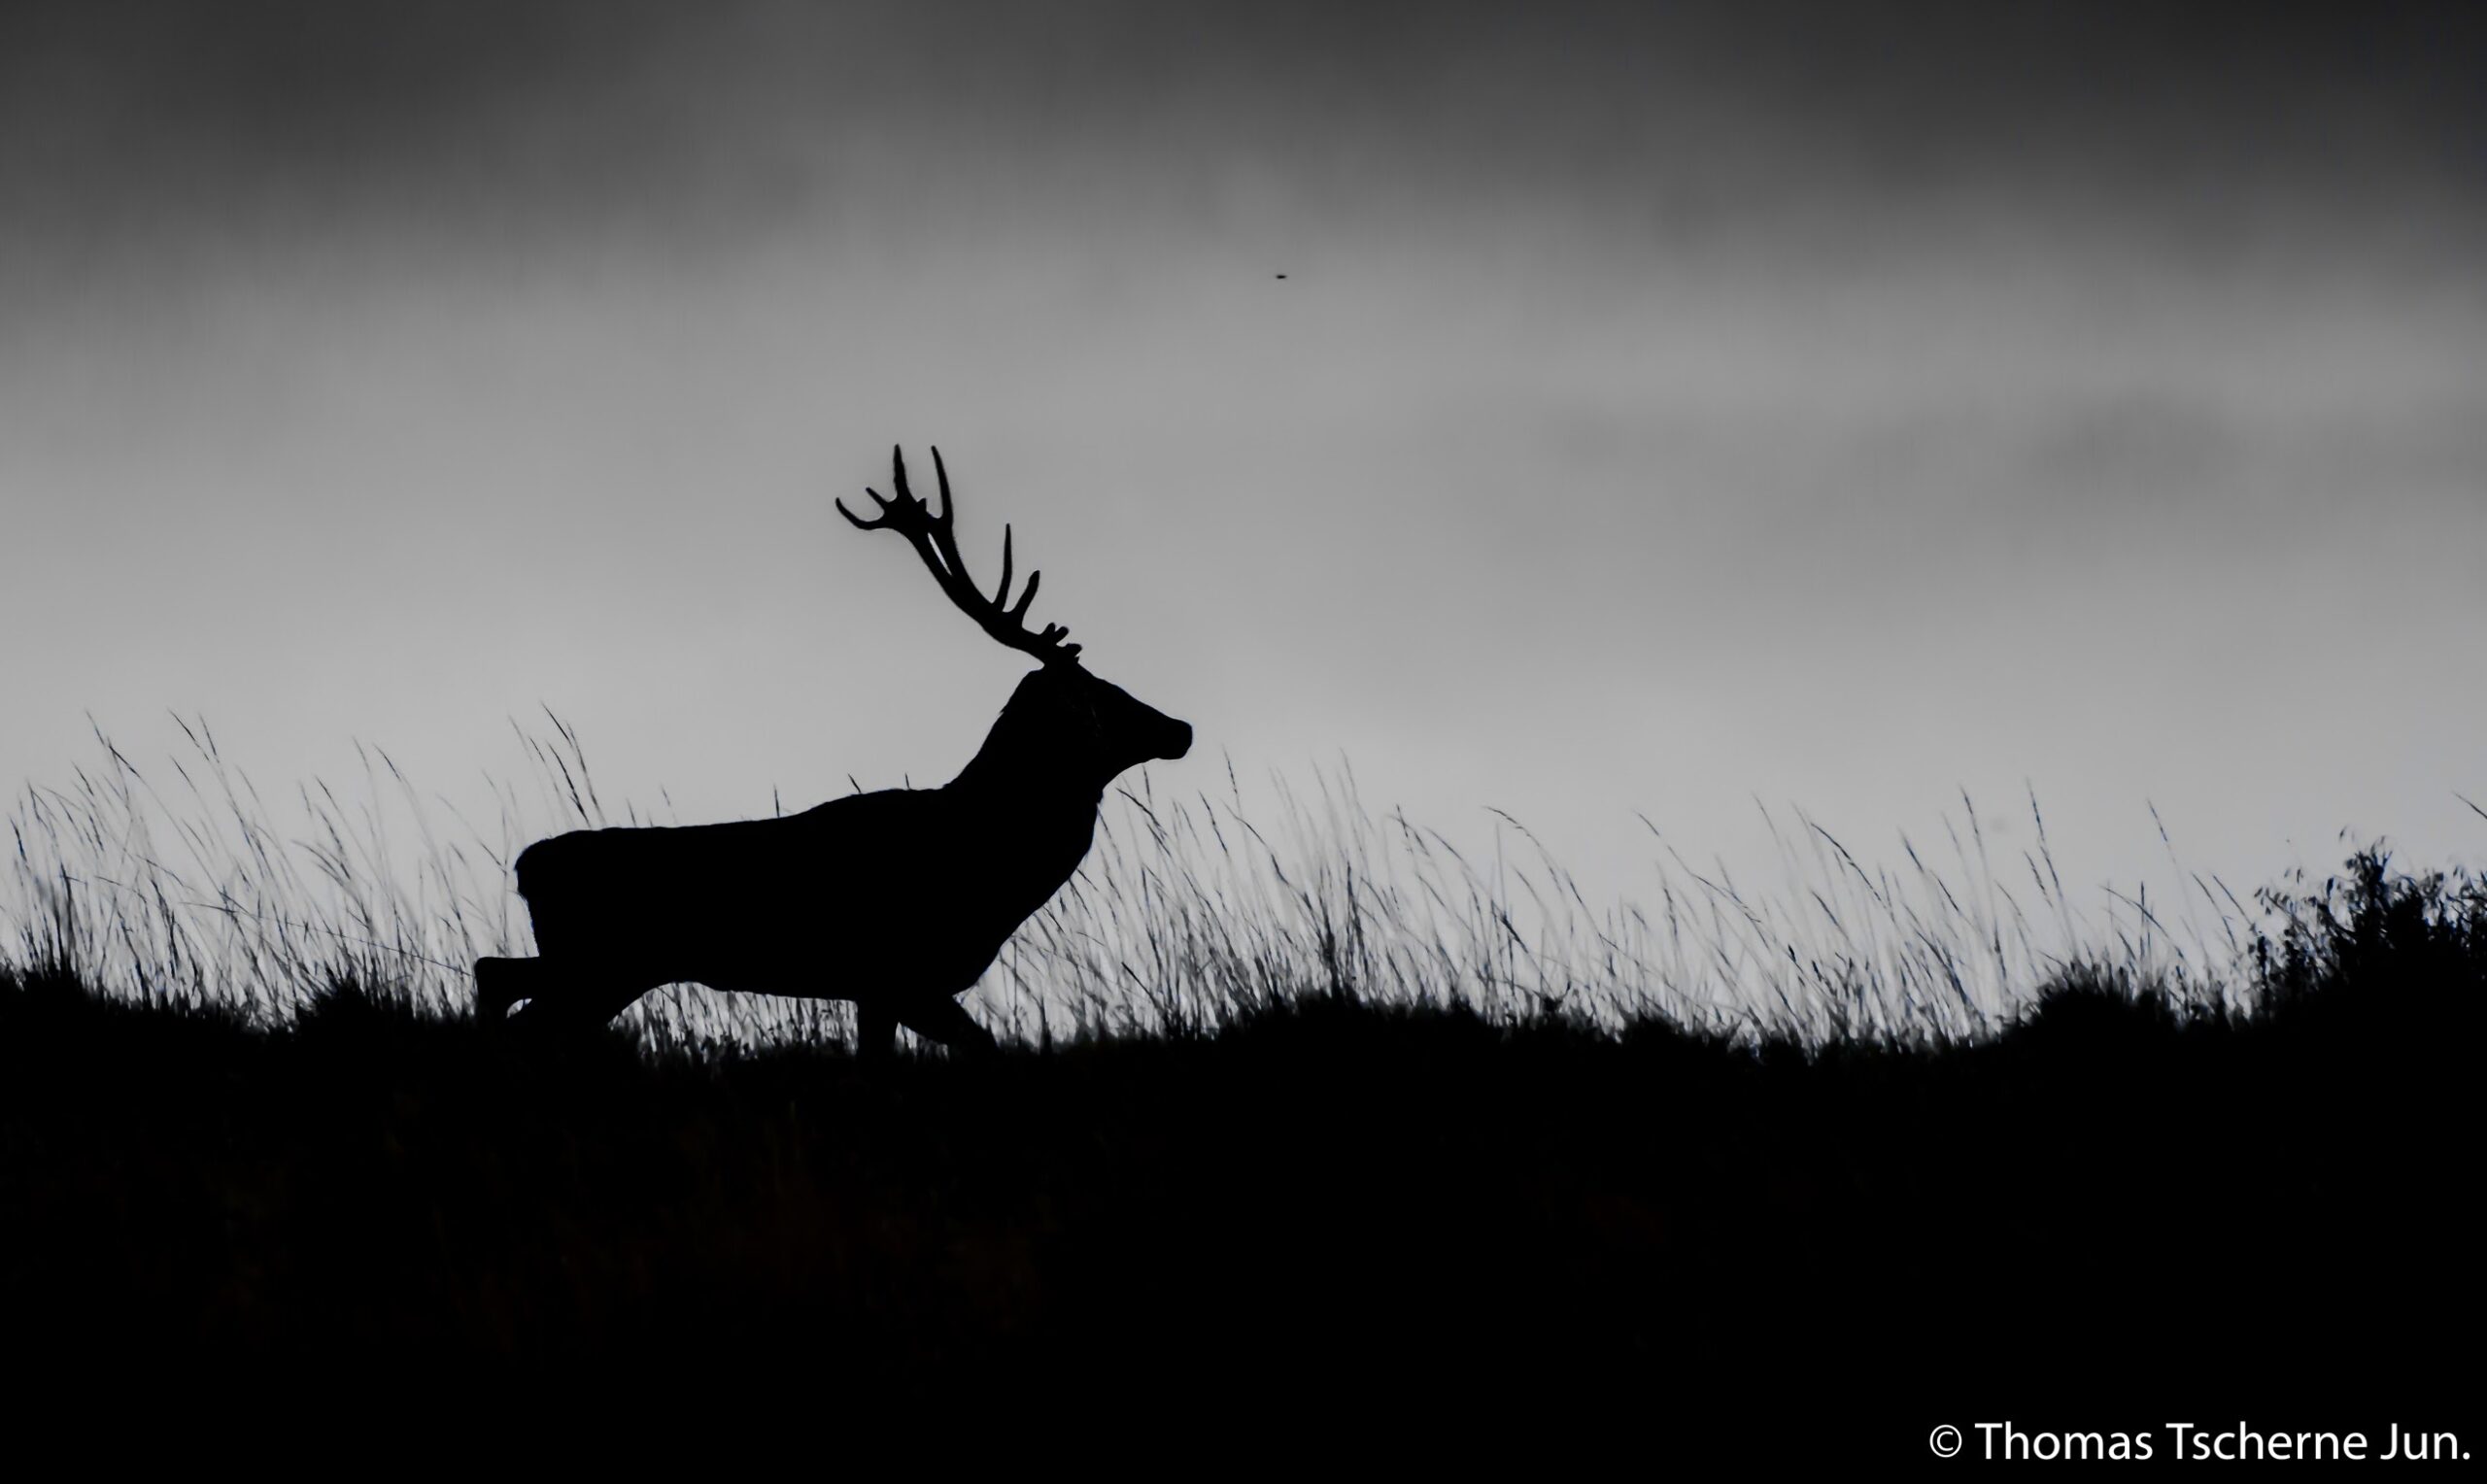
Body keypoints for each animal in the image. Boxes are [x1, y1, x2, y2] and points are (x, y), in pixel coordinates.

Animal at [473, 447, 1192, 1057]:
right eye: (1101, 692)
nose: (1180, 728)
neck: (985, 864)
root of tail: (528, 866)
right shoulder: (899, 972)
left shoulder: (882, 990)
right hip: (603, 963)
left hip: (594, 966)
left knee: (494, 972)